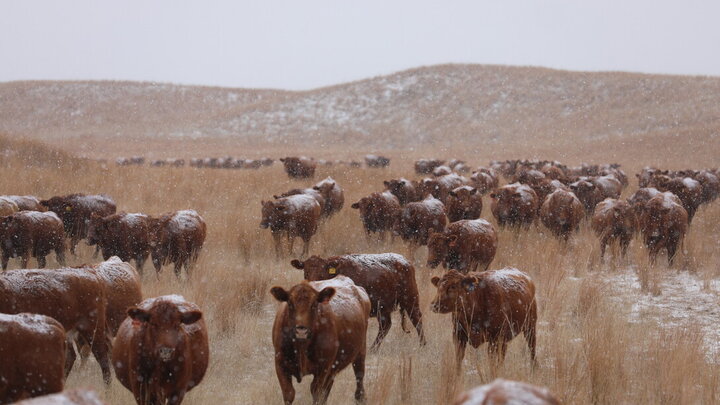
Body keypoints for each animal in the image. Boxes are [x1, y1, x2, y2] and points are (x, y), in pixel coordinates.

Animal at [270, 276, 371, 404]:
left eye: (314, 305)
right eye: (290, 304)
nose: (301, 331)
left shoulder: (323, 368)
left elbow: (316, 393)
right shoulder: (280, 364)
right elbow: (289, 393)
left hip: (360, 351)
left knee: (359, 375)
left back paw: (360, 398)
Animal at [290, 253, 424, 350]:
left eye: (322, 274)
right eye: (306, 272)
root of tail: (406, 262)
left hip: (410, 300)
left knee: (417, 319)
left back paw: (422, 345)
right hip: (383, 309)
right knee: (385, 326)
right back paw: (373, 349)